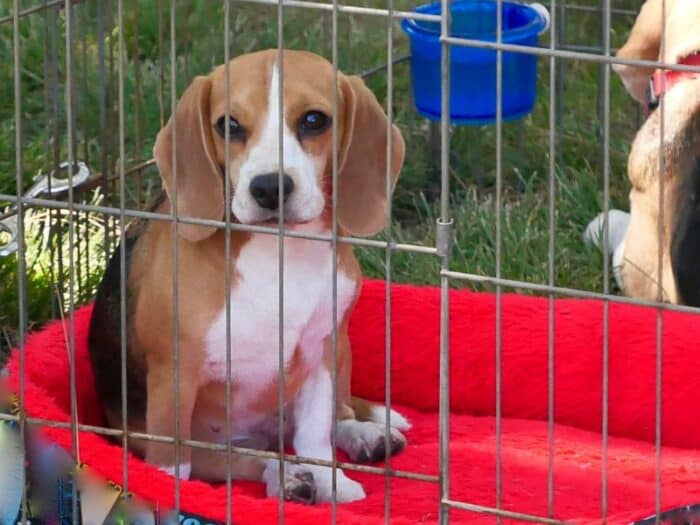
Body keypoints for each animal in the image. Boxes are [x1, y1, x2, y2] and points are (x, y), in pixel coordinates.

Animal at [90, 49, 412, 504]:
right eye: (229, 125)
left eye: (314, 120)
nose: (269, 187)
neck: (280, 253)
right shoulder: (175, 373)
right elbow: (175, 463)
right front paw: (168, 493)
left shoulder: (322, 352)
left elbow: (315, 438)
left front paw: (332, 484)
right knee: (242, 460)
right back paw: (287, 476)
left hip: (342, 354)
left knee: (334, 416)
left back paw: (359, 437)